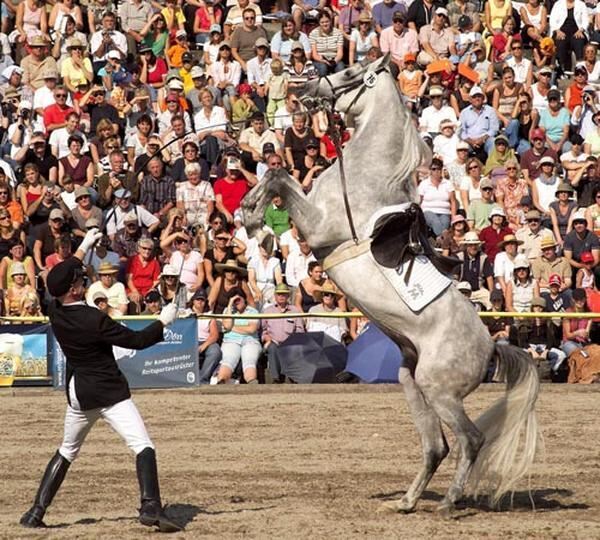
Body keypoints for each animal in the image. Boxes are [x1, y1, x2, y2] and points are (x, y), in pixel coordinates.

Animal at [241, 56, 540, 516]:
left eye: (350, 73)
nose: (304, 88)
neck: (365, 176)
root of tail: (492, 347)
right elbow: (277, 175)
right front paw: (252, 216)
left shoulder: (319, 227)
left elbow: (277, 177)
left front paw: (255, 223)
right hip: (410, 381)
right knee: (436, 447)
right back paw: (407, 501)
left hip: (439, 390)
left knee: (470, 440)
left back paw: (447, 502)